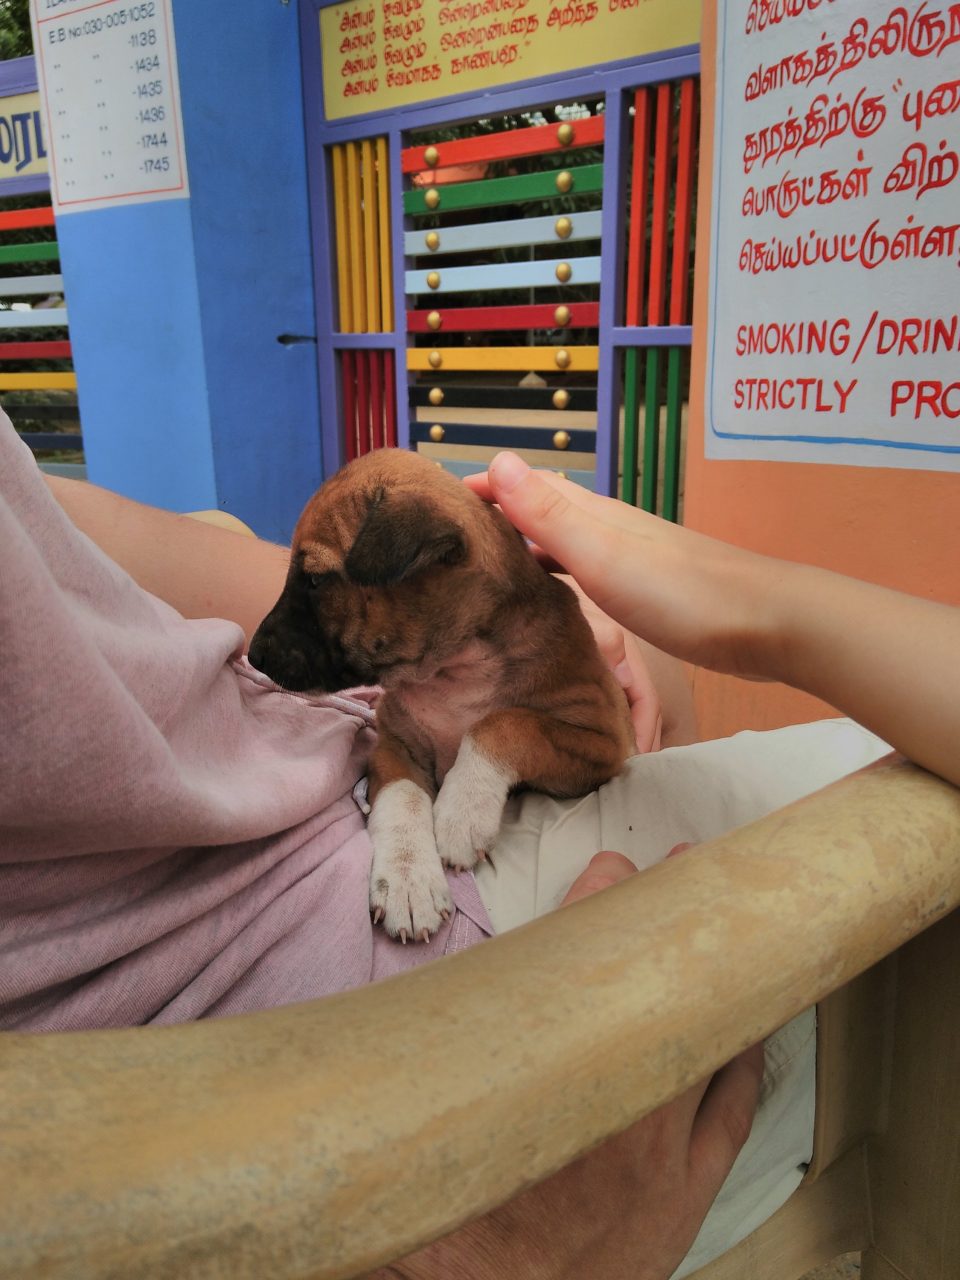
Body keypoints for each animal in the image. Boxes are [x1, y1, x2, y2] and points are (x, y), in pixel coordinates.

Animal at [249, 449, 635, 942]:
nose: (254, 656)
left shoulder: (602, 742)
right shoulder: (393, 745)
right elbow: (402, 796)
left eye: (315, 581)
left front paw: (461, 812)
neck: (450, 670)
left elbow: (507, 721)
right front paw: (407, 879)